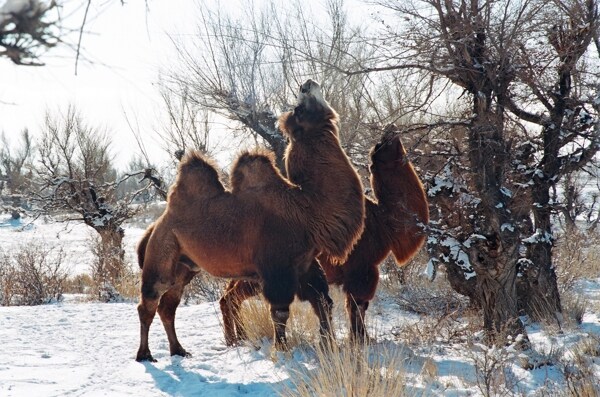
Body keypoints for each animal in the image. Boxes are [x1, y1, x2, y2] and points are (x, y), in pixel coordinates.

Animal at [136, 79, 366, 360]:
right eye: (299, 110)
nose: (307, 83)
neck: (305, 209)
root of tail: (153, 228)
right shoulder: (277, 268)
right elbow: (280, 311)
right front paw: (282, 349)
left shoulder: (305, 264)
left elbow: (323, 302)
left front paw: (329, 344)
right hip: (162, 253)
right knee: (149, 302)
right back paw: (145, 354)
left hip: (185, 266)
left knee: (169, 306)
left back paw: (180, 350)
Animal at [220, 125, 432, 342]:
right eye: (381, 146)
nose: (390, 129)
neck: (383, 222)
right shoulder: (362, 268)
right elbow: (358, 305)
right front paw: (360, 340)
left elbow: (355, 306)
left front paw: (359, 338)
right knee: (233, 296)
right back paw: (235, 338)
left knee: (228, 295)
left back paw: (237, 337)